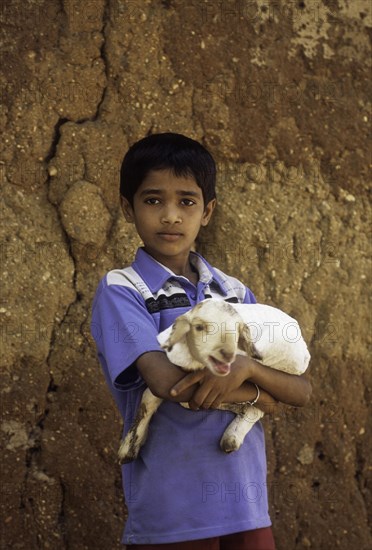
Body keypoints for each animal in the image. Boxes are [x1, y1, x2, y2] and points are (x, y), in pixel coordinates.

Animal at [119, 300, 310, 464]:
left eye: (236, 333)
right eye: (199, 327)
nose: (227, 354)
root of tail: (305, 349)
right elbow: (148, 399)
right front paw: (128, 449)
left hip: (276, 357)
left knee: (259, 406)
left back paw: (231, 437)